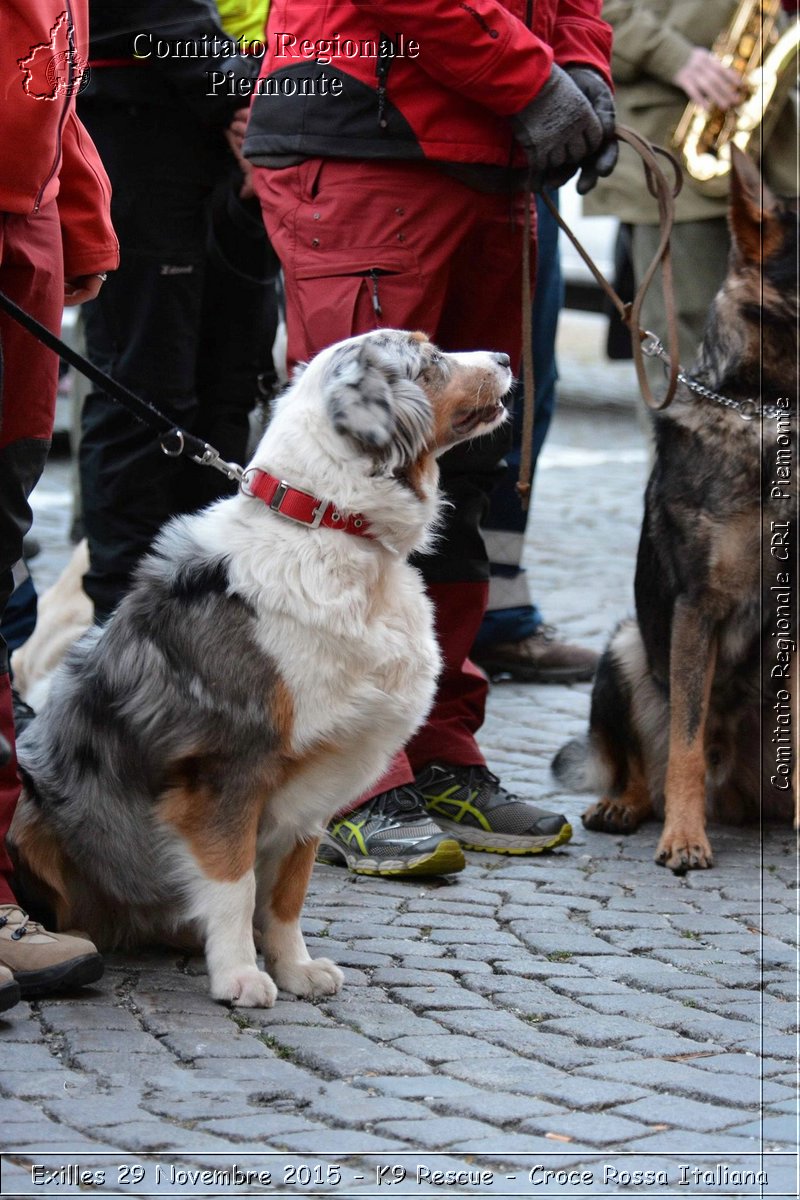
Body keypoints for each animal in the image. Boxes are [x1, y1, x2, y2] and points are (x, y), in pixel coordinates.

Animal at [554, 154, 796, 878]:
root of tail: (733, 786)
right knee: (645, 767)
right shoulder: (697, 608)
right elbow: (685, 744)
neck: (768, 412)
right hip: (625, 647)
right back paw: (628, 806)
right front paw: (684, 841)